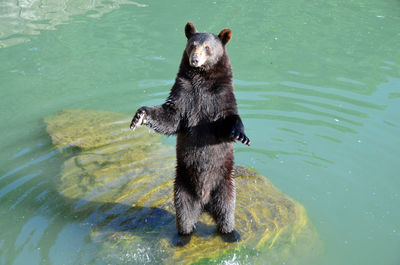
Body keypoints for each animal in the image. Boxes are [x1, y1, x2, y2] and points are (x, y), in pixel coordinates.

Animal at [131, 21, 250, 234]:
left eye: (208, 47)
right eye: (193, 44)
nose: (194, 59)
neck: (202, 79)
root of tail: (204, 203)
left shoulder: (220, 96)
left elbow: (227, 120)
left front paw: (240, 134)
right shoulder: (184, 93)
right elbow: (170, 117)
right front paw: (140, 116)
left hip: (224, 183)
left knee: (227, 210)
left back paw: (230, 233)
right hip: (182, 186)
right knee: (184, 215)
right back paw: (183, 235)